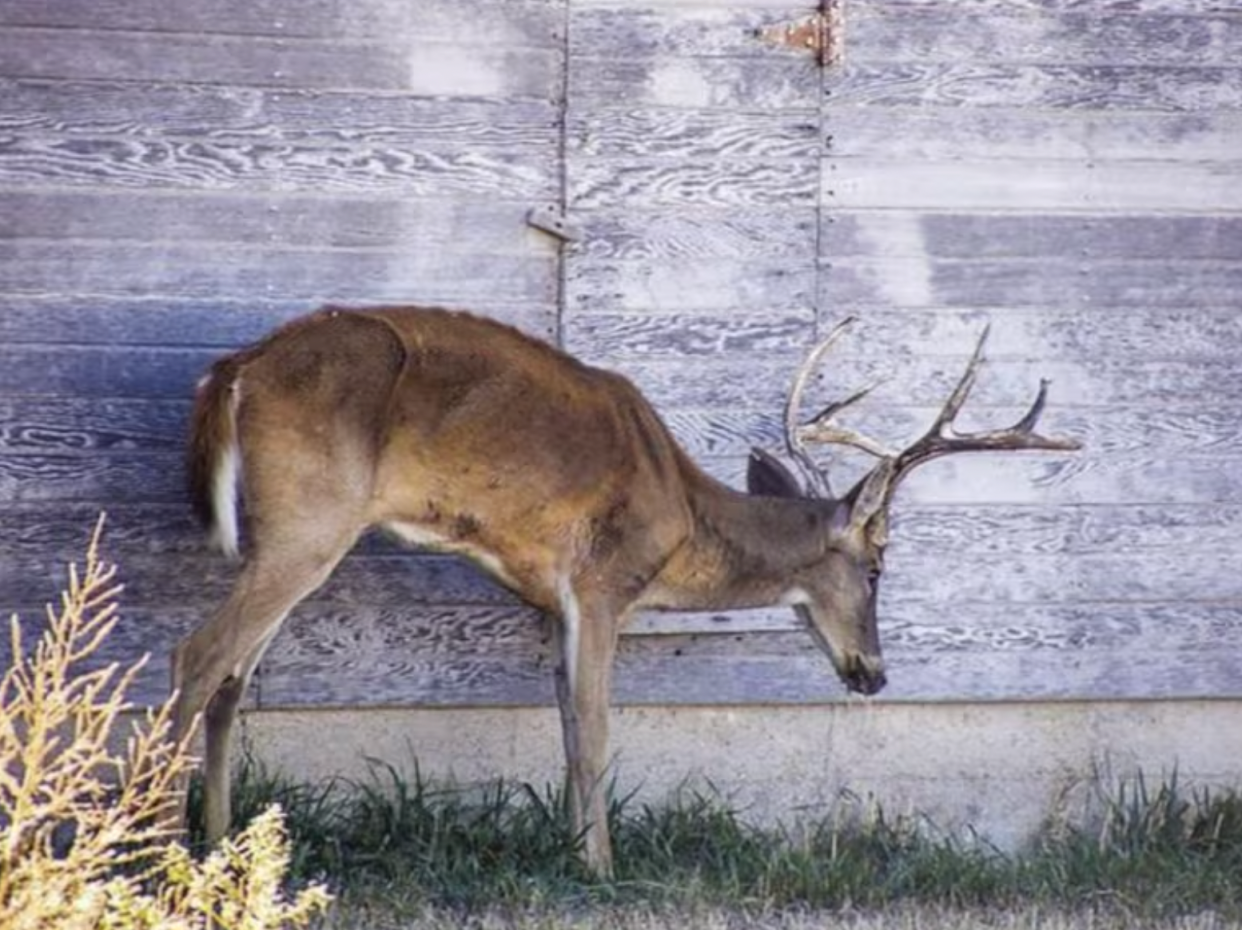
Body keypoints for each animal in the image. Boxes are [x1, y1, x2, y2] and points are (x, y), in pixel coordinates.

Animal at [172, 302, 1078, 869]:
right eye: (879, 565)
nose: (875, 675)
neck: (680, 517)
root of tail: (234, 371)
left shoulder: (551, 603)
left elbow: (570, 728)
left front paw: (574, 853)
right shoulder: (603, 581)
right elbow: (601, 728)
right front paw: (603, 867)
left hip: (290, 531)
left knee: (233, 677)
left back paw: (222, 842)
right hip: (311, 516)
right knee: (198, 655)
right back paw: (161, 840)